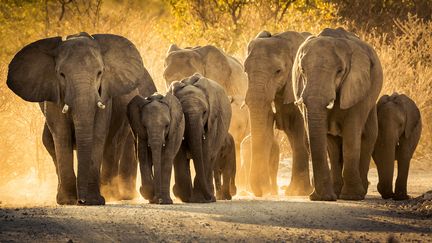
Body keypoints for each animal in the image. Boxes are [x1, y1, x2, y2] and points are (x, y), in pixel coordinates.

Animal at [7, 31, 157, 204]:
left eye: (100, 73)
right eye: (61, 75)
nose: (82, 201)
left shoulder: (104, 97)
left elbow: (97, 135)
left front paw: (94, 201)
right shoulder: (53, 98)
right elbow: (61, 135)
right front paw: (68, 201)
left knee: (111, 146)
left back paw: (110, 194)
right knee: (49, 142)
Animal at [243, 30, 314, 197]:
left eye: (278, 71)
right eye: (245, 70)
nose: (260, 192)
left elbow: (298, 130)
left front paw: (298, 192)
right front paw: (265, 190)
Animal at [292, 27, 384, 201]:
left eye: (340, 71)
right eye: (302, 70)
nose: (321, 197)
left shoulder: (357, 89)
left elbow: (351, 137)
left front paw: (352, 196)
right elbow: (328, 142)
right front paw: (325, 197)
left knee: (368, 136)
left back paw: (359, 191)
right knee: (334, 146)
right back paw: (338, 190)